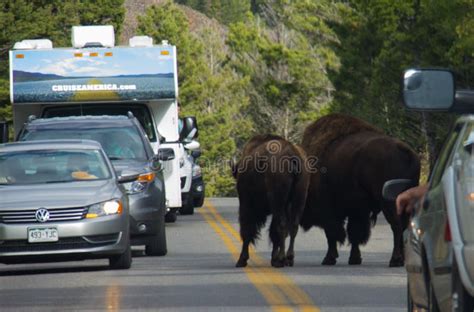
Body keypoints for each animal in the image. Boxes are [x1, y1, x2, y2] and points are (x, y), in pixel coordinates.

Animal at [231, 134, 310, 268]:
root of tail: (293, 155)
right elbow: (274, 233)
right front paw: (274, 259)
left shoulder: (246, 204)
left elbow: (247, 231)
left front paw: (241, 260)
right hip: (299, 199)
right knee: (292, 226)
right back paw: (289, 258)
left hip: (279, 202)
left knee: (282, 226)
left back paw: (282, 258)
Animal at [302, 113, 420, 266]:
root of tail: (405, 151)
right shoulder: (357, 210)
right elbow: (354, 234)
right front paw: (354, 259)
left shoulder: (331, 211)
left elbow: (335, 234)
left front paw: (329, 259)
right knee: (404, 226)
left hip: (389, 203)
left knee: (397, 226)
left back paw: (395, 260)